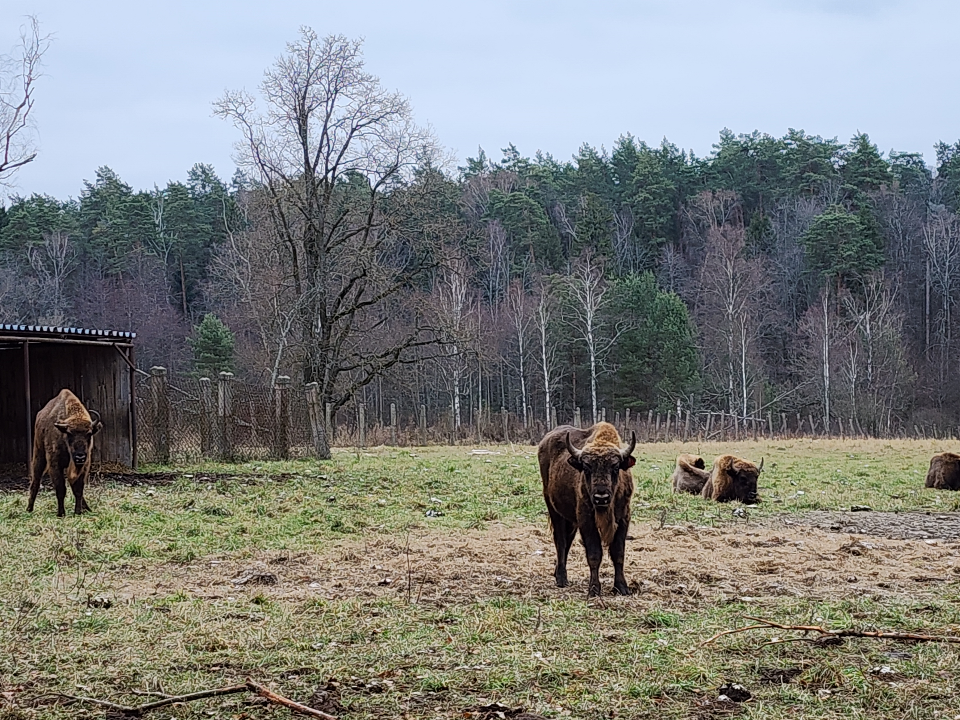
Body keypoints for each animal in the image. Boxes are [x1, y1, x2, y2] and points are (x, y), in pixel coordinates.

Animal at [27, 388, 102, 516]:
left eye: (89, 434)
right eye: (69, 433)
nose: (80, 457)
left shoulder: (84, 465)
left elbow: (78, 489)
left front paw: (78, 512)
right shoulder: (55, 464)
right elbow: (61, 488)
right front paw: (61, 513)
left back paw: (87, 508)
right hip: (39, 454)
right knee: (36, 480)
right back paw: (29, 509)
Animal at [540, 422, 636, 596]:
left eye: (615, 467)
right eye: (586, 467)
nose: (601, 497)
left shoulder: (623, 519)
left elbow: (618, 553)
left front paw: (622, 587)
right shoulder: (586, 521)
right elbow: (594, 554)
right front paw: (594, 589)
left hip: (570, 519)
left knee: (567, 540)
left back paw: (557, 573)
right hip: (553, 508)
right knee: (560, 541)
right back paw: (561, 578)